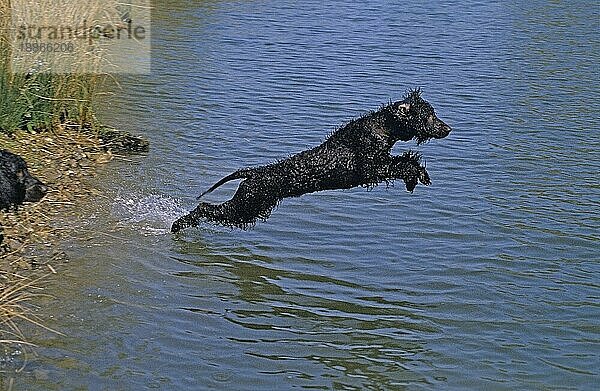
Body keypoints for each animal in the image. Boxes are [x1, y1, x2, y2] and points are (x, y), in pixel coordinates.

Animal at [171, 89, 452, 233]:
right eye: (428, 116)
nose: (448, 129)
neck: (382, 126)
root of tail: (254, 173)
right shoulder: (372, 168)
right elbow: (404, 162)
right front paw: (416, 176)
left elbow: (407, 160)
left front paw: (418, 177)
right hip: (245, 207)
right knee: (205, 208)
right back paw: (179, 224)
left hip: (251, 207)